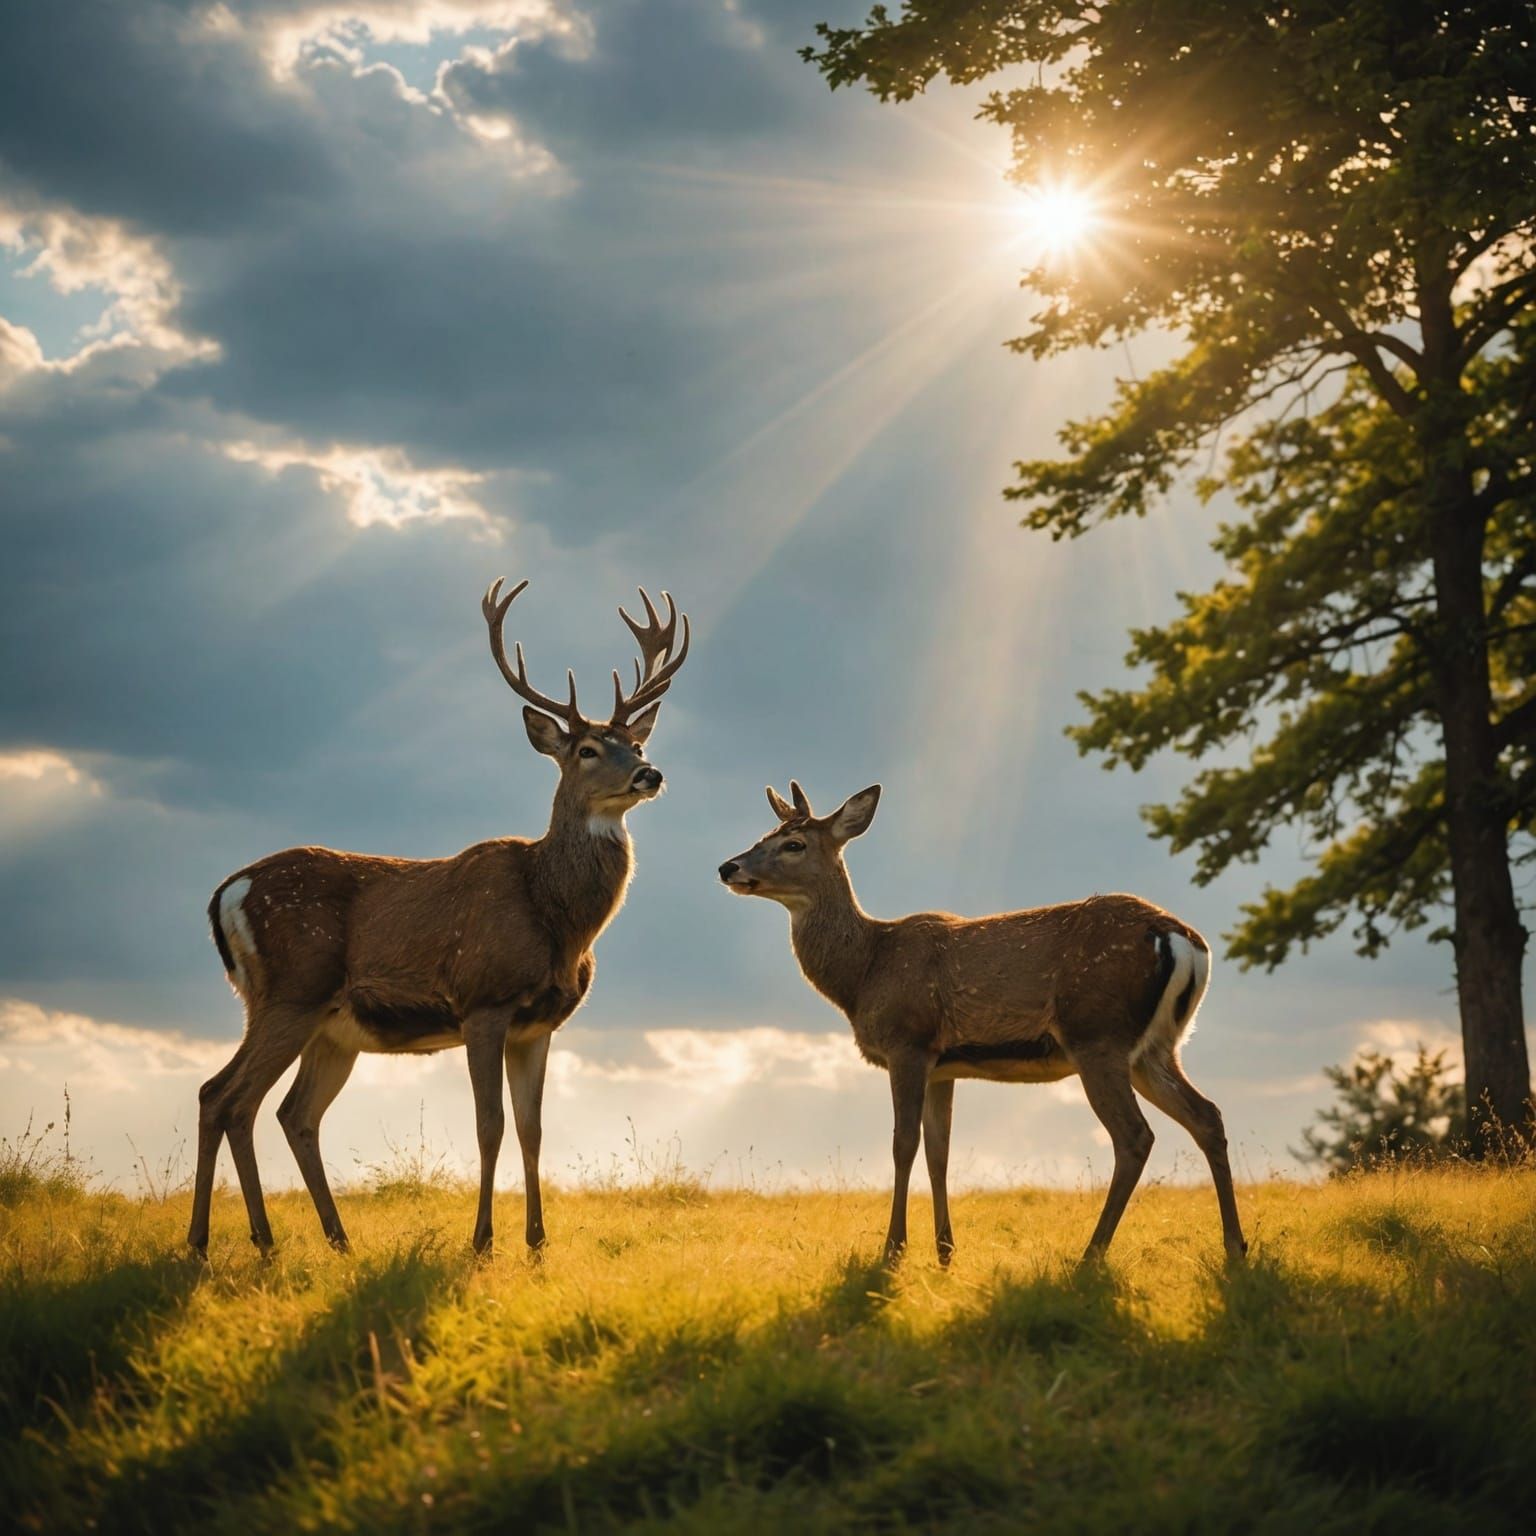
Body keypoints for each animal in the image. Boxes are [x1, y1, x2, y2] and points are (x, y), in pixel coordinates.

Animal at [189, 577, 690, 1259]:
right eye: (587, 748)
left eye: (636, 743)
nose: (649, 772)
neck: (558, 922)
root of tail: (225, 892)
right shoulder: (484, 999)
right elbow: (490, 1125)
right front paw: (482, 1241)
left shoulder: (541, 1024)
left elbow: (533, 1128)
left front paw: (537, 1241)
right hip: (291, 989)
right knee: (224, 1096)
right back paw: (223, 1242)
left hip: (329, 1025)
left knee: (292, 1114)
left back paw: (330, 1240)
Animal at [718, 782, 1246, 1267]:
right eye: (765, 834)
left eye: (794, 844)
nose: (729, 867)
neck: (864, 973)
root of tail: (1184, 941)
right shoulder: (943, 1066)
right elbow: (939, 1152)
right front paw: (946, 1252)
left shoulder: (908, 1042)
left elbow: (903, 1144)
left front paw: (893, 1250)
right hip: (1155, 1047)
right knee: (1207, 1116)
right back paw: (1235, 1249)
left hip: (1097, 1034)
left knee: (1135, 1136)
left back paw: (1090, 1256)